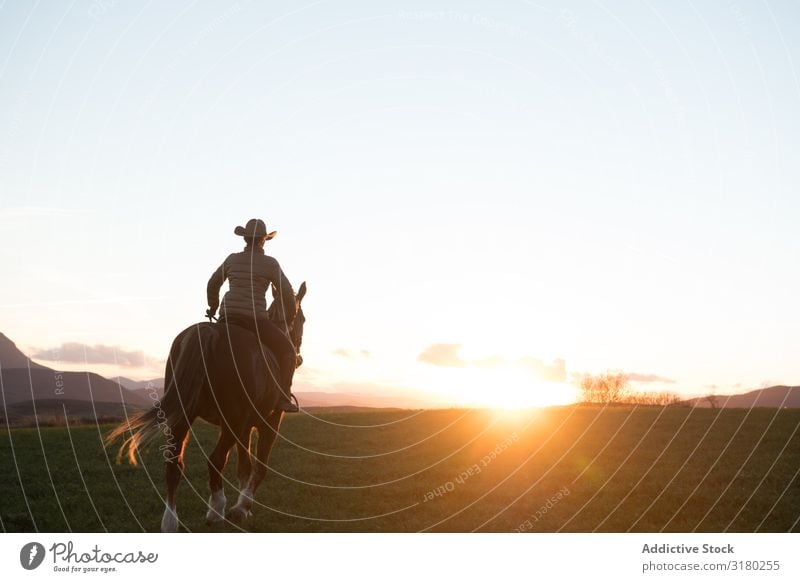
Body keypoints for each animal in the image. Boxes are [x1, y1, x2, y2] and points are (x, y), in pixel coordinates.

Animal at [106, 282, 306, 532]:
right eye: (303, 319)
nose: (299, 357)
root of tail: (208, 333)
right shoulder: (269, 422)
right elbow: (259, 467)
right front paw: (242, 507)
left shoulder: (245, 428)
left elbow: (244, 467)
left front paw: (243, 507)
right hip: (232, 421)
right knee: (215, 460)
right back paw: (216, 510)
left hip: (184, 416)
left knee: (174, 464)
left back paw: (170, 522)